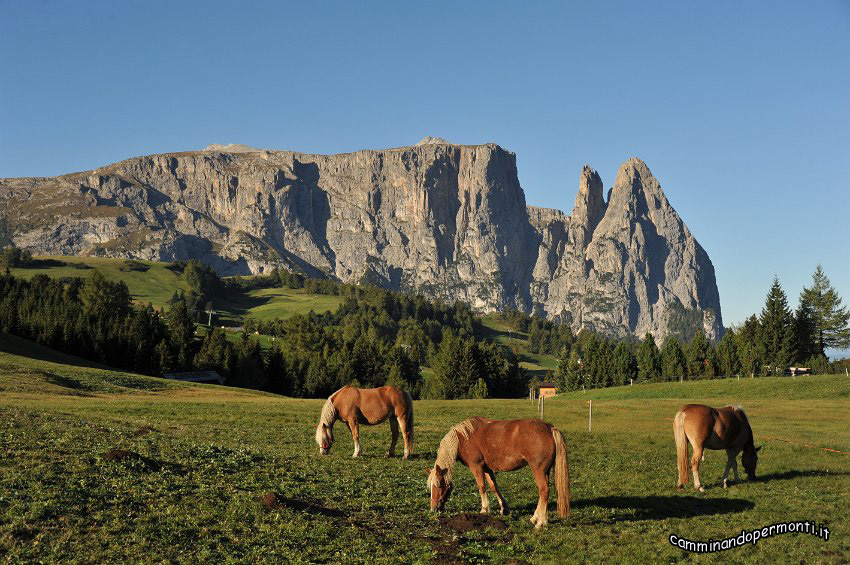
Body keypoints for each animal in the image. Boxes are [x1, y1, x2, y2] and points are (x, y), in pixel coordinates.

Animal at [424, 414, 568, 528]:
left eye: (439, 485)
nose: (433, 508)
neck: (463, 437)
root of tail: (550, 429)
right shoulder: (486, 468)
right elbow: (494, 487)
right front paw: (504, 508)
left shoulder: (476, 466)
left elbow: (481, 486)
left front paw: (484, 509)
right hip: (545, 471)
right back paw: (536, 518)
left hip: (538, 470)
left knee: (544, 491)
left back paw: (540, 522)